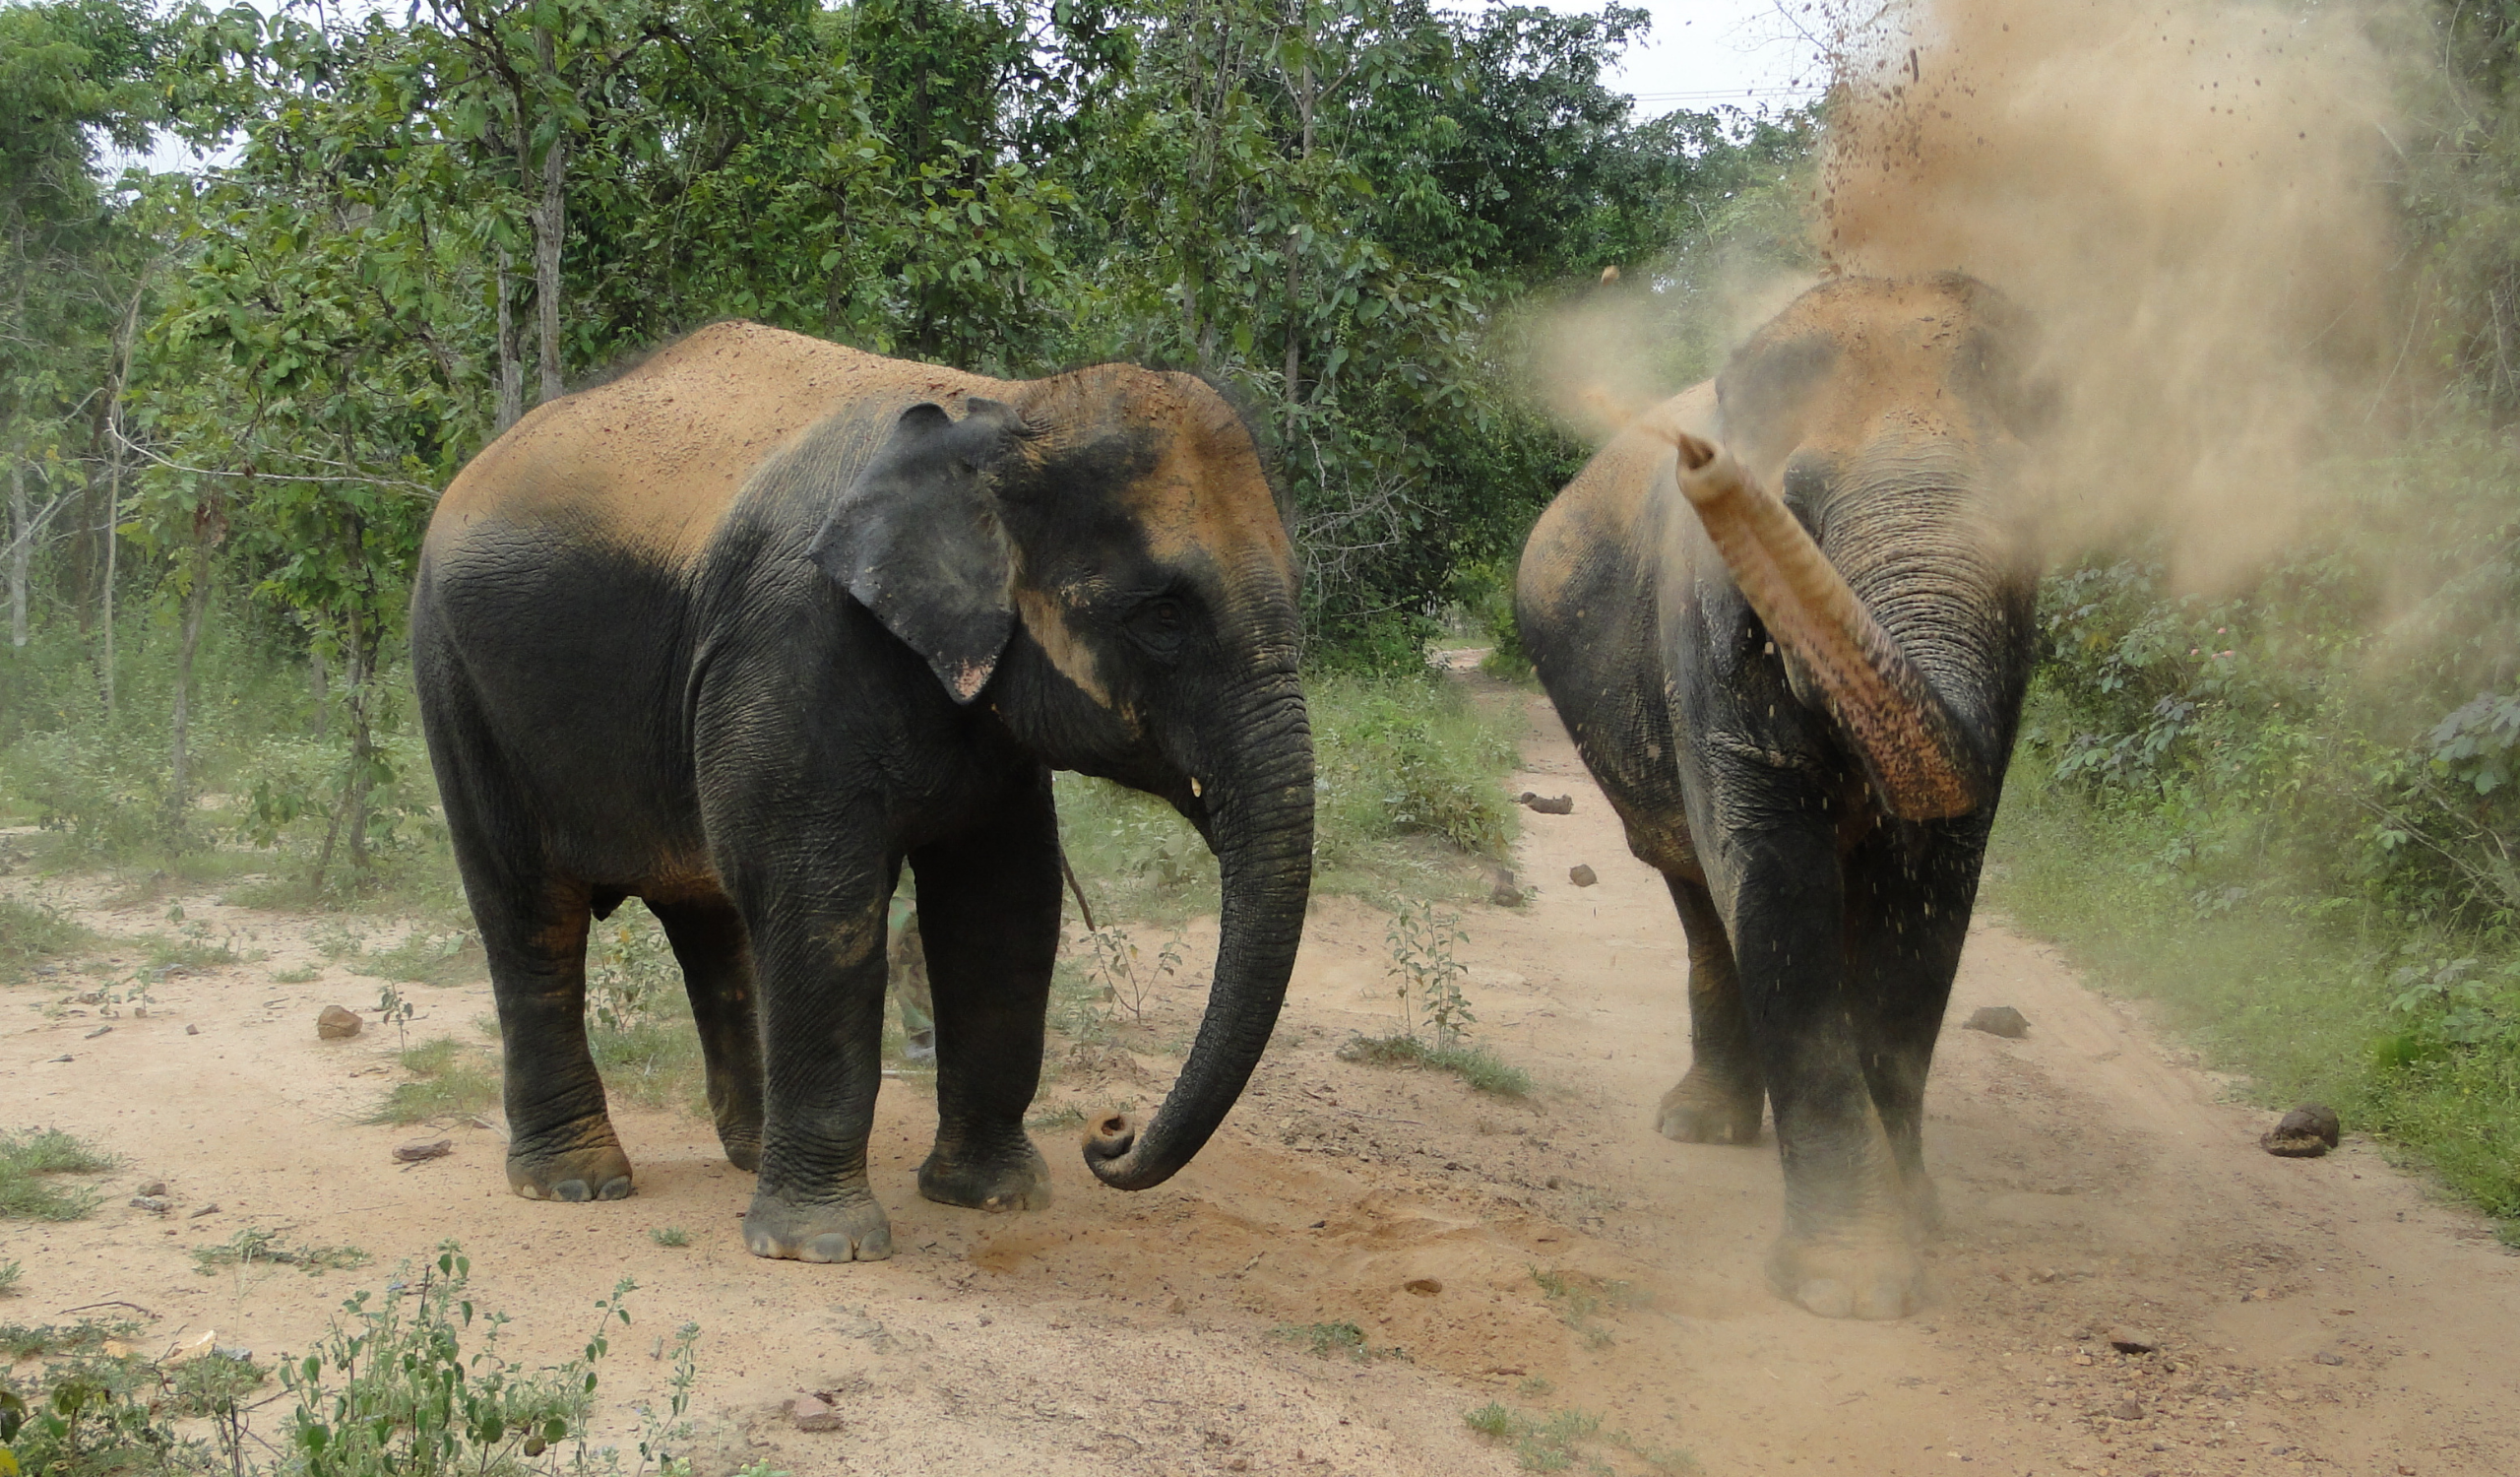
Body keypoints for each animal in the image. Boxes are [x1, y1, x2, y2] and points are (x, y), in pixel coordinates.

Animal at [410, 321, 1313, 1263]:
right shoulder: (790, 643)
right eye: (1163, 617)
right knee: (528, 913)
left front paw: (995, 1200)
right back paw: (576, 1183)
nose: (1111, 1133)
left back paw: (745, 1153)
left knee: (707, 917)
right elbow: (821, 901)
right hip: (456, 684)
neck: (1005, 409)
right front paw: (823, 1248)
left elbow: (1002, 904)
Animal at [1516, 273, 2044, 1318]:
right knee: (1697, 888)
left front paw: (1913, 1219)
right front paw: (1853, 1285)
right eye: (1793, 504)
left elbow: (1931, 902)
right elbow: (1776, 881)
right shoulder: (1704, 635)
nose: (1701, 458)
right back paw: (1699, 1127)